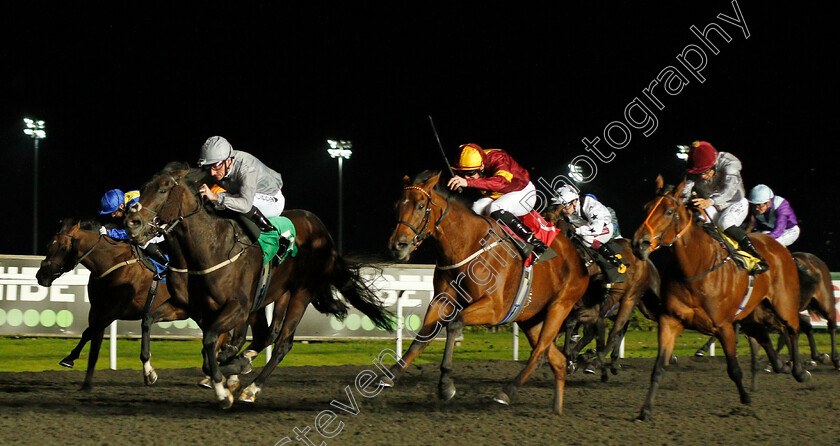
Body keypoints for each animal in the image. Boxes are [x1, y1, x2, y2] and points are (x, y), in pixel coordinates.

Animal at [35, 220, 189, 390]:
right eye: (49, 244)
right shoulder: (96, 310)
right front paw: (86, 385)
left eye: (63, 247)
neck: (111, 263)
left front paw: (69, 359)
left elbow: (88, 332)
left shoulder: (114, 311)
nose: (41, 276)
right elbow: (93, 342)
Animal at [126, 161, 396, 408]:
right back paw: (241, 364)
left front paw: (222, 389)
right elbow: (148, 319)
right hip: (276, 294)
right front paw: (150, 372)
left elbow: (210, 341)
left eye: (163, 190)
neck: (209, 247)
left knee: (282, 343)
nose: (132, 223)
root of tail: (323, 232)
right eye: (143, 188)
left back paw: (251, 386)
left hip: (301, 293)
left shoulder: (238, 308)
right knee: (267, 334)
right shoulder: (188, 307)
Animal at [388, 171, 592, 414]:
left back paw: (506, 392)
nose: (397, 246)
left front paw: (446, 385)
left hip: (559, 306)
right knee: (557, 361)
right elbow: (423, 337)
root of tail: (581, 258)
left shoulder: (494, 309)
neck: (468, 243)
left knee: (539, 353)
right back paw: (557, 410)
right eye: (397, 205)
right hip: (530, 318)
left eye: (420, 205)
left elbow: (454, 324)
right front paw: (391, 374)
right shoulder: (441, 301)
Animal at [632, 176, 812, 420]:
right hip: (752, 313)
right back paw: (780, 366)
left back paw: (799, 371)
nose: (638, 243)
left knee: (792, 328)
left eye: (669, 211)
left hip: (783, 304)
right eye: (645, 208)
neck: (694, 268)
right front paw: (646, 410)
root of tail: (778, 247)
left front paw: (746, 399)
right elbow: (659, 368)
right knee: (763, 334)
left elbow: (734, 369)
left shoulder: (724, 325)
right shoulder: (670, 321)